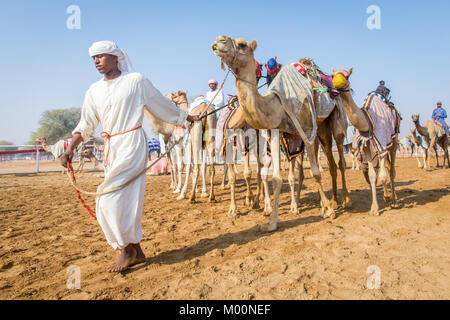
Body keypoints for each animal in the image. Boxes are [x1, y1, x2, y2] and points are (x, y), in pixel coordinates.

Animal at [210, 35, 348, 230]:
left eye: (242, 44)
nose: (218, 41)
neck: (277, 105)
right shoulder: (275, 133)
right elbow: (276, 178)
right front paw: (272, 222)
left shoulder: (306, 130)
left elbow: (315, 173)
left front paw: (329, 211)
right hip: (320, 127)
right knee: (330, 157)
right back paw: (331, 202)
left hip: (334, 118)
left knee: (339, 156)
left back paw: (344, 201)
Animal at [330, 68, 400, 216]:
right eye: (332, 75)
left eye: (347, 75)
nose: (337, 82)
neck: (367, 123)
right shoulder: (367, 145)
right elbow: (373, 175)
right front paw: (374, 208)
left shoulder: (382, 143)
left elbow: (382, 176)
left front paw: (386, 197)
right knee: (386, 168)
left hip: (394, 139)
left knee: (391, 170)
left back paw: (394, 199)